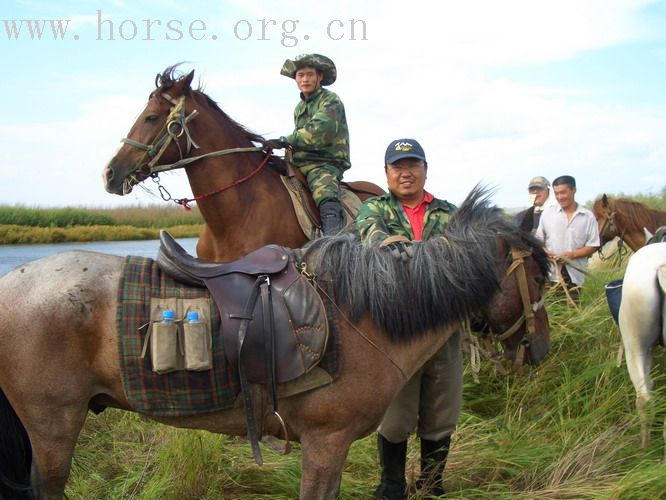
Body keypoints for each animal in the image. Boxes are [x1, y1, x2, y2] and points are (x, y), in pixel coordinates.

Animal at [0, 188, 548, 500]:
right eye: (540, 275)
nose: (540, 349)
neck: (364, 312)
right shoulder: (325, 444)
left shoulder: (332, 448)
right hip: (53, 427)